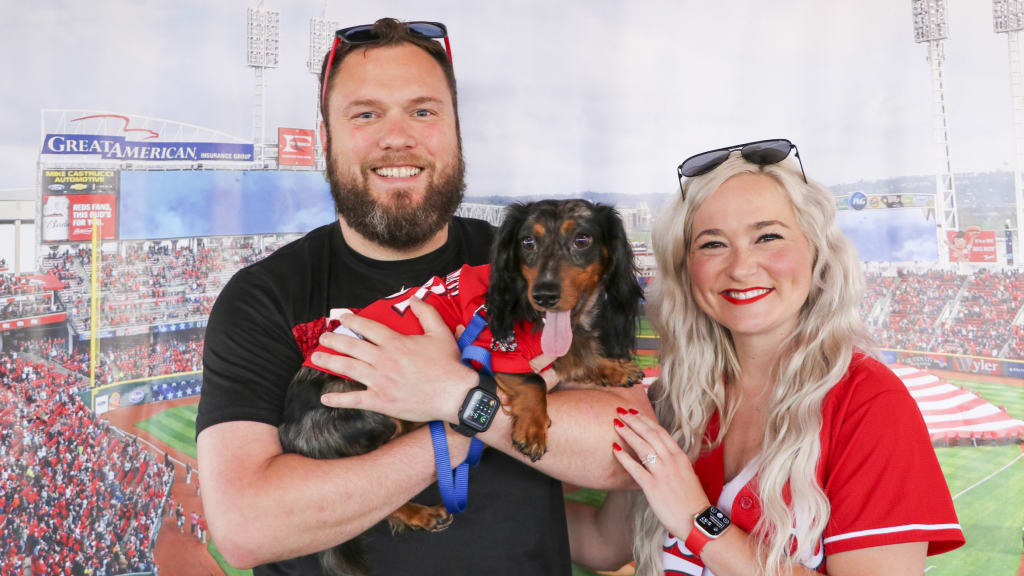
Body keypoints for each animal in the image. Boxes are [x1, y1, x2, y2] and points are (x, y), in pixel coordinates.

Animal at [278, 198, 638, 573]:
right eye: (527, 242)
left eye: (582, 239)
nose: (545, 295)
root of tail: (288, 430)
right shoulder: (495, 351)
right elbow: (535, 380)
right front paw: (533, 428)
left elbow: (581, 353)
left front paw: (613, 369)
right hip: (376, 419)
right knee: (373, 503)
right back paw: (419, 514)